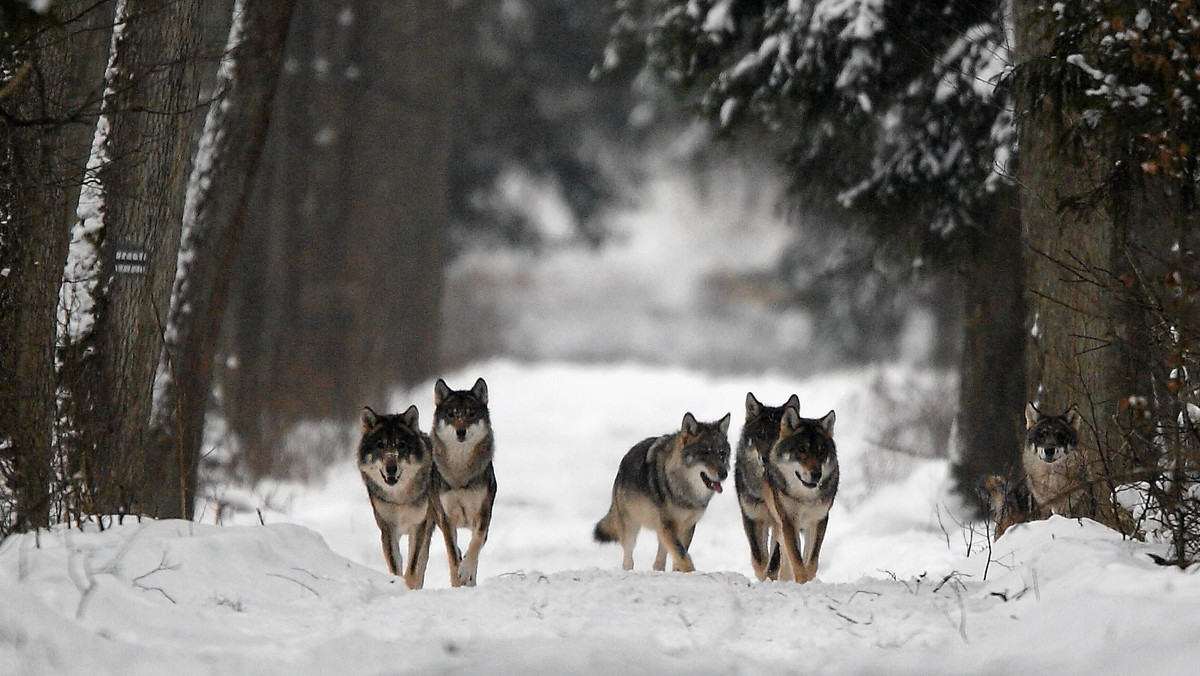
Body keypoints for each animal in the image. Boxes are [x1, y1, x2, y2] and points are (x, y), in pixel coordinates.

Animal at [357, 405, 439, 590]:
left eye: (401, 445)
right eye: (380, 445)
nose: (391, 468)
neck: (399, 498)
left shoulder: (418, 526)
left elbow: (412, 568)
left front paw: (409, 587)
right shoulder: (387, 529)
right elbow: (395, 566)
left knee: (422, 563)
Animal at [432, 379, 496, 590]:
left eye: (470, 413)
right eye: (452, 414)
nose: (461, 431)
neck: (461, 474)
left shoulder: (483, 514)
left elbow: (475, 545)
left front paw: (466, 572)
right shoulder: (446, 519)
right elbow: (452, 555)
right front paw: (456, 582)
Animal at [592, 410, 729, 573]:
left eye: (721, 454)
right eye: (705, 453)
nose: (724, 474)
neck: (685, 492)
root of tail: (622, 464)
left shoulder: (687, 526)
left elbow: (680, 556)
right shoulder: (668, 525)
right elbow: (682, 554)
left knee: (658, 562)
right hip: (631, 527)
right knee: (628, 558)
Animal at [734, 391, 801, 581]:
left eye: (779, 436)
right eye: (760, 435)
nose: (766, 458)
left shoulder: (780, 521)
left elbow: (774, 560)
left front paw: (770, 575)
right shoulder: (752, 517)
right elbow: (758, 558)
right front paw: (762, 576)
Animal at [763, 408, 840, 588]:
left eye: (821, 451)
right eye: (801, 450)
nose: (816, 474)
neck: (805, 497)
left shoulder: (819, 520)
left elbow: (811, 560)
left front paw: (809, 582)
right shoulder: (789, 522)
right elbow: (796, 559)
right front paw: (801, 582)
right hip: (780, 527)